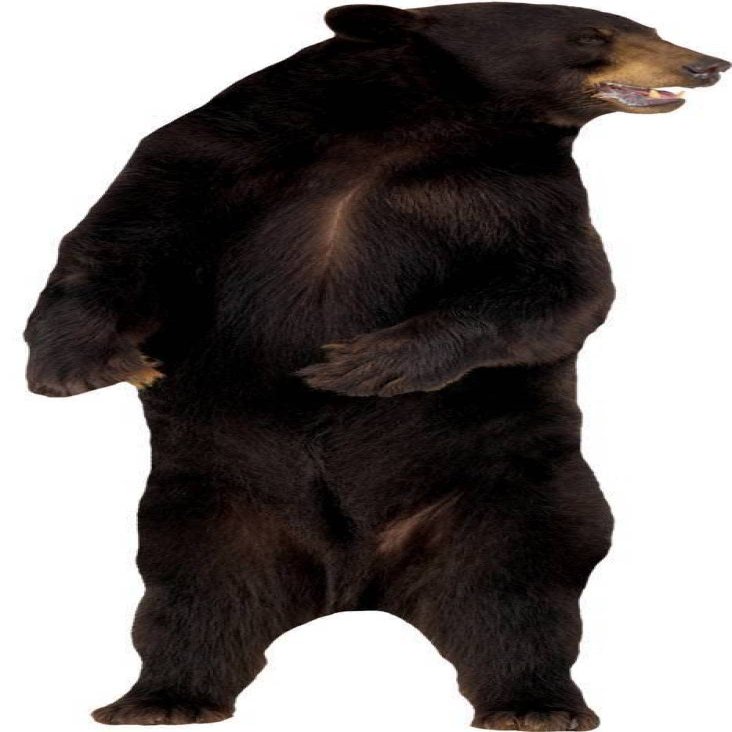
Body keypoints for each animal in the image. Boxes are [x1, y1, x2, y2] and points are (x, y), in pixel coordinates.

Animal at [24, 3, 728, 730]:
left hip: (511, 491)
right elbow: (122, 239)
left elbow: (562, 286)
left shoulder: (525, 192)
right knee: (199, 590)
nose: (706, 64)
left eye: (646, 27)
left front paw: (365, 364)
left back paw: (536, 703)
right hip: (214, 500)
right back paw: (162, 697)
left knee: (517, 587)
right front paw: (83, 364)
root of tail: (354, 586)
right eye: (595, 33)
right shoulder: (215, 155)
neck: (411, 129)